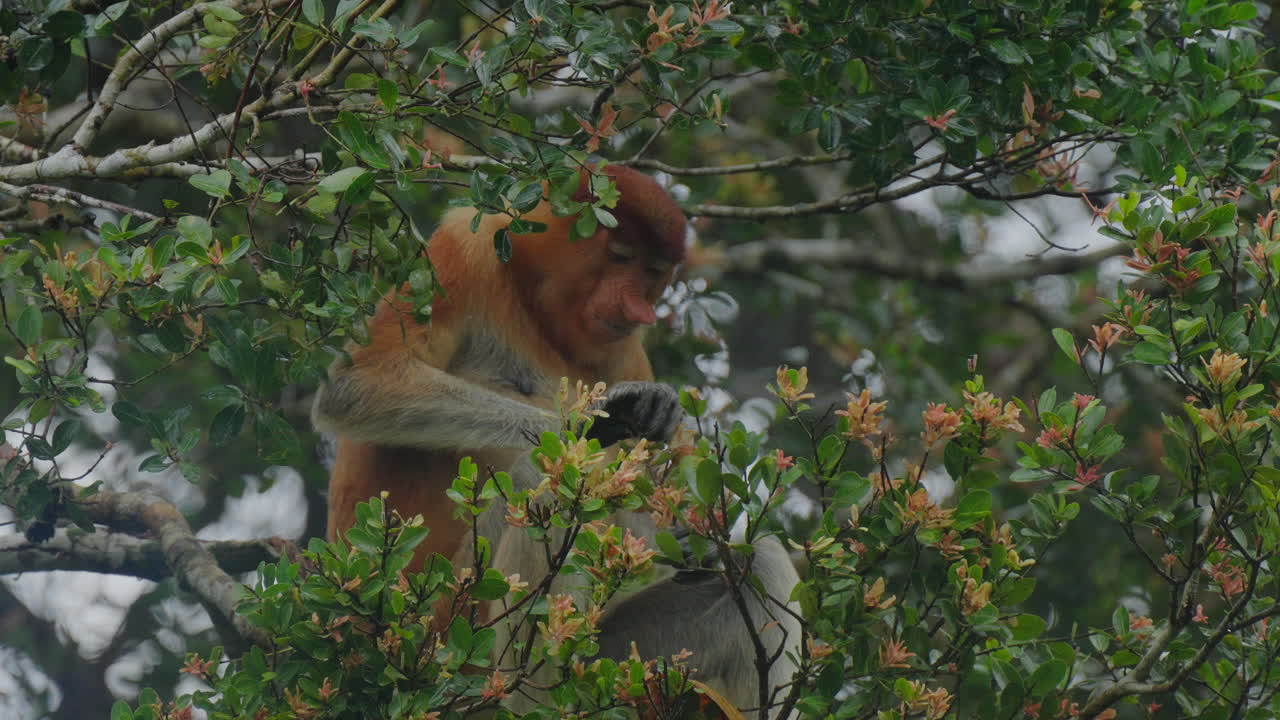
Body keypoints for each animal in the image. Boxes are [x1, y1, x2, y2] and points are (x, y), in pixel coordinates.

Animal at [312, 164, 800, 717]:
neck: (531, 298)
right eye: (621, 255)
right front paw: (601, 419)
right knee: (544, 486)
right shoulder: (462, 251)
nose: (638, 308)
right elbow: (357, 383)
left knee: (760, 557)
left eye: (653, 272)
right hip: (443, 626)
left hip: (621, 660)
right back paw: (528, 693)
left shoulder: (623, 346)